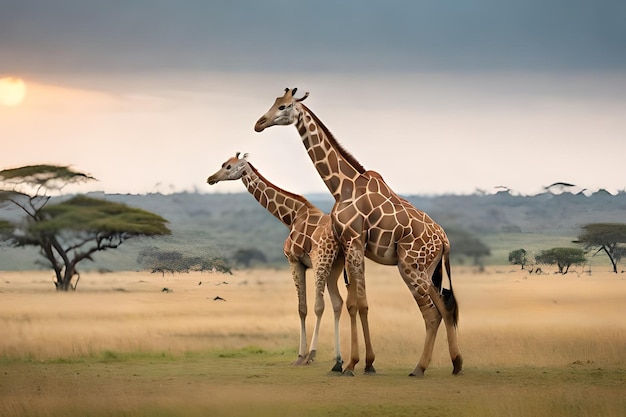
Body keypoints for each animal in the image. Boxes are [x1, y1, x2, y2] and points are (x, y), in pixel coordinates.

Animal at [207, 150, 344, 370]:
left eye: (228, 166)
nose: (211, 178)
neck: (291, 216)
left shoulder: (294, 261)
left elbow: (303, 308)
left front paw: (301, 356)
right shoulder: (305, 264)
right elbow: (304, 308)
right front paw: (302, 355)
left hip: (322, 262)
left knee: (321, 305)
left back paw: (313, 355)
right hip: (336, 267)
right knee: (339, 303)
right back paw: (339, 360)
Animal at [252, 88, 458, 376]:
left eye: (284, 106)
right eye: (274, 103)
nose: (259, 123)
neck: (341, 187)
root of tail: (445, 241)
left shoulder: (354, 241)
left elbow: (358, 304)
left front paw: (352, 364)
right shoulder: (349, 245)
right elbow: (356, 303)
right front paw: (363, 363)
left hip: (410, 266)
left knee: (431, 313)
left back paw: (419, 368)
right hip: (428, 269)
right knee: (444, 306)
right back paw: (456, 363)